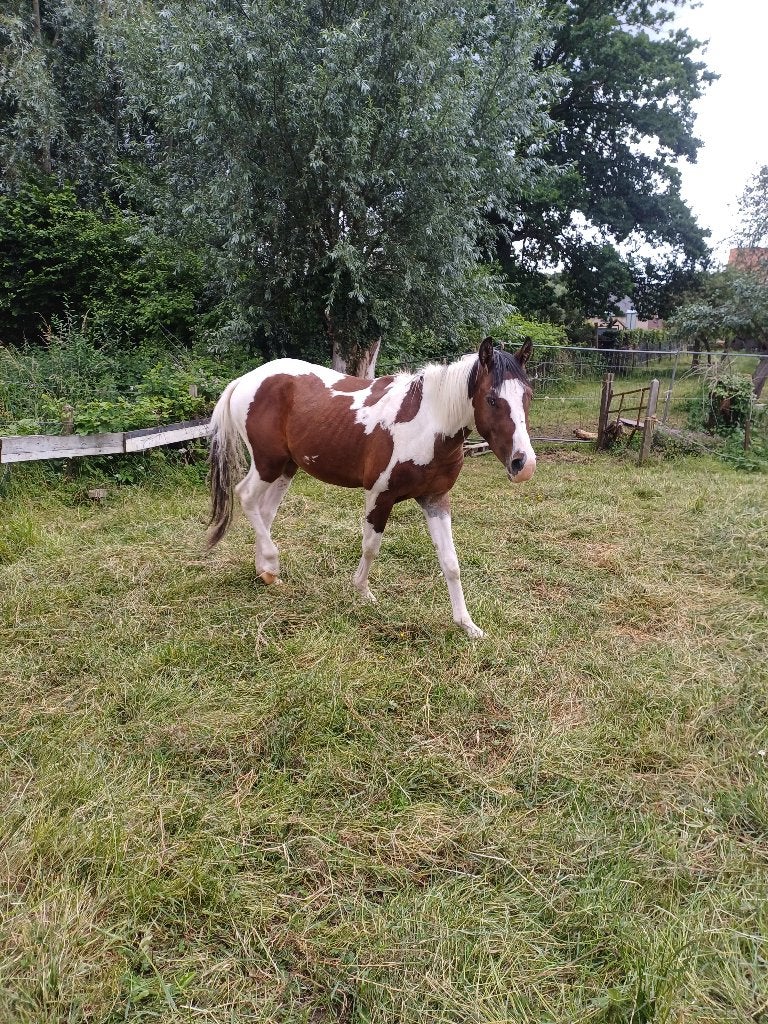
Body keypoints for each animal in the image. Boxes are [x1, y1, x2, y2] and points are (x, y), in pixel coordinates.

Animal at [207, 337, 536, 638]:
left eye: (528, 396)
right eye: (491, 399)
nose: (524, 464)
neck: (427, 423)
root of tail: (245, 380)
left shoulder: (436, 499)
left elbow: (450, 562)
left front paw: (467, 625)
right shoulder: (380, 495)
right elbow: (370, 546)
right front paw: (362, 592)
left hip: (287, 467)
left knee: (265, 512)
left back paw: (264, 572)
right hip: (268, 463)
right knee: (246, 497)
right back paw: (272, 564)